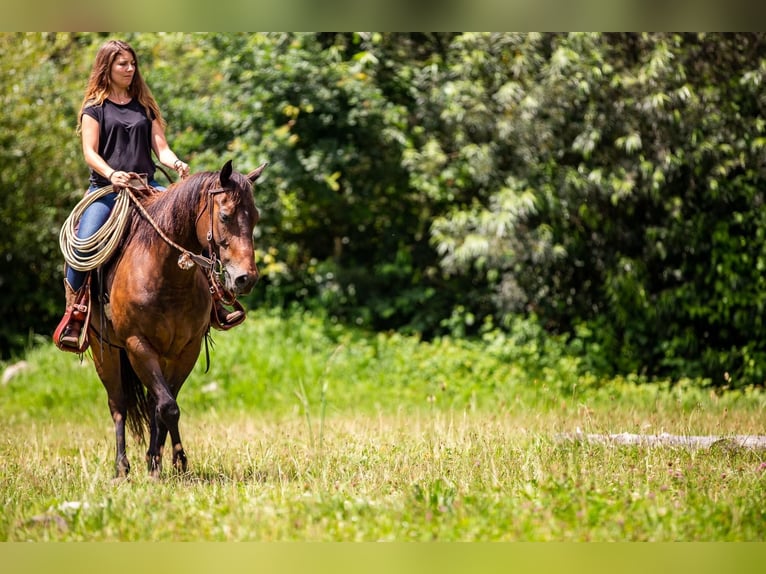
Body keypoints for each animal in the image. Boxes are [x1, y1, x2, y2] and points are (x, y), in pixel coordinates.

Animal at [88, 159, 266, 478]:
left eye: (255, 217)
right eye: (225, 215)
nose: (246, 279)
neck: (167, 276)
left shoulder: (186, 349)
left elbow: (165, 403)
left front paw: (161, 461)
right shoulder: (137, 345)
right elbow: (168, 407)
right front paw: (172, 462)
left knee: (151, 402)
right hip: (104, 351)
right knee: (118, 405)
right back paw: (121, 468)